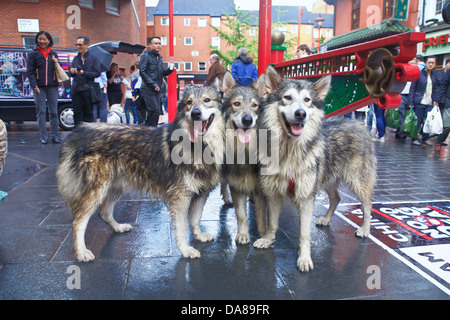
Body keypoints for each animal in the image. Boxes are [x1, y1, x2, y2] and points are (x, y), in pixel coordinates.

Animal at [56, 84, 225, 262]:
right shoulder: (180, 196)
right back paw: (82, 251)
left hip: (115, 187)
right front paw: (185, 249)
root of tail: (79, 132)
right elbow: (181, 228)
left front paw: (199, 235)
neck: (201, 145)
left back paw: (118, 227)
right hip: (97, 189)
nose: (195, 113)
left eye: (207, 100)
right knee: (78, 221)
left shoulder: (202, 192)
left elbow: (195, 219)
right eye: (189, 102)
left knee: (104, 213)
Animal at [221, 72, 268, 242]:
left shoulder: (261, 189)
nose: (247, 120)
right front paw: (242, 234)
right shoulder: (237, 186)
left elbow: (261, 214)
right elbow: (241, 214)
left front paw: (264, 234)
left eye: (255, 105)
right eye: (237, 104)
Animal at [256, 66, 376, 272]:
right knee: (336, 198)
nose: (300, 114)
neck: (289, 151)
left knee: (367, 206)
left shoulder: (306, 197)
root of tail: (360, 124)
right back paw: (326, 219)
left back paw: (365, 229)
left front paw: (304, 258)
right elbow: (272, 224)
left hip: (357, 181)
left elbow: (305, 234)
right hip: (327, 179)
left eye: (307, 100)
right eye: (287, 97)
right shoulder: (274, 193)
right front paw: (268, 240)